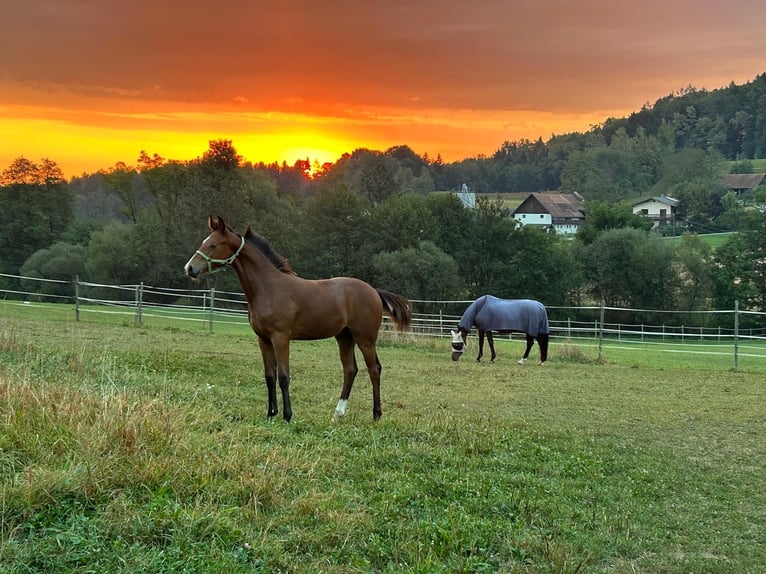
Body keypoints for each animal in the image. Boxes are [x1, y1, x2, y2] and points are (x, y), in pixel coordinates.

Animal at [184, 216, 414, 424]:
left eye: (213, 244)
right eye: (204, 241)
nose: (190, 268)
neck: (269, 287)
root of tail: (374, 290)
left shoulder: (281, 338)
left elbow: (284, 376)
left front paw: (287, 416)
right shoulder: (263, 340)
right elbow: (269, 376)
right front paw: (270, 414)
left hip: (365, 339)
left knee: (374, 369)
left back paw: (376, 415)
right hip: (344, 337)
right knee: (350, 370)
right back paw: (337, 415)